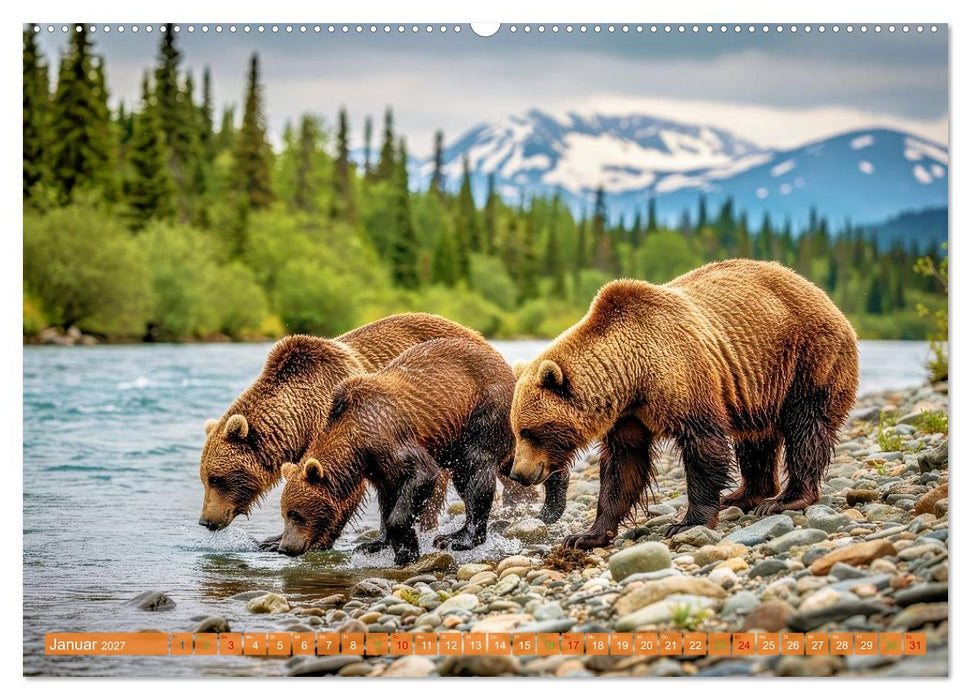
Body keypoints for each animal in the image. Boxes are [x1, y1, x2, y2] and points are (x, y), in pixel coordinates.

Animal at [277, 337, 520, 564]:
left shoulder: (387, 438)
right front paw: (373, 544)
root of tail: (505, 365)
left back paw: (461, 538)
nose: (284, 548)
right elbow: (388, 499)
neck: (355, 443)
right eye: (284, 513)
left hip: (485, 410)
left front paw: (406, 551)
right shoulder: (376, 467)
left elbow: (421, 473)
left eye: (295, 514)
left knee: (475, 467)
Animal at [507, 259, 859, 549]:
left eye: (529, 431)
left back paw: (786, 498)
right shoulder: (629, 416)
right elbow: (623, 467)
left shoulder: (682, 376)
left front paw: (688, 522)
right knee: (755, 440)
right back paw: (743, 495)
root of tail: (827, 299)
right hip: (757, 391)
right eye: (517, 430)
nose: (518, 473)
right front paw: (586, 535)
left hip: (807, 358)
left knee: (806, 427)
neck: (632, 375)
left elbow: (704, 446)